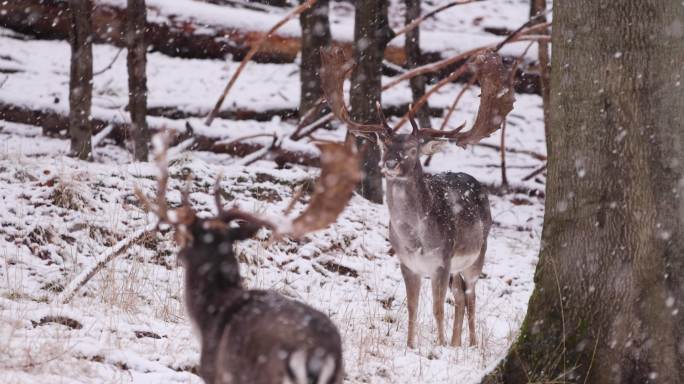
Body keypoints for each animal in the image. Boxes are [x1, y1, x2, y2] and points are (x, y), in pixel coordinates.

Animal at [320, 47, 512, 348]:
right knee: (459, 297)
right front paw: (412, 346)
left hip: (477, 254)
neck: (416, 239)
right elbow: (412, 306)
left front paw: (439, 346)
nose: (390, 163)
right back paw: (457, 343)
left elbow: (436, 307)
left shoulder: (441, 260)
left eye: (412, 150)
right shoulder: (407, 263)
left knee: (471, 295)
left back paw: (469, 343)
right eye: (383, 145)